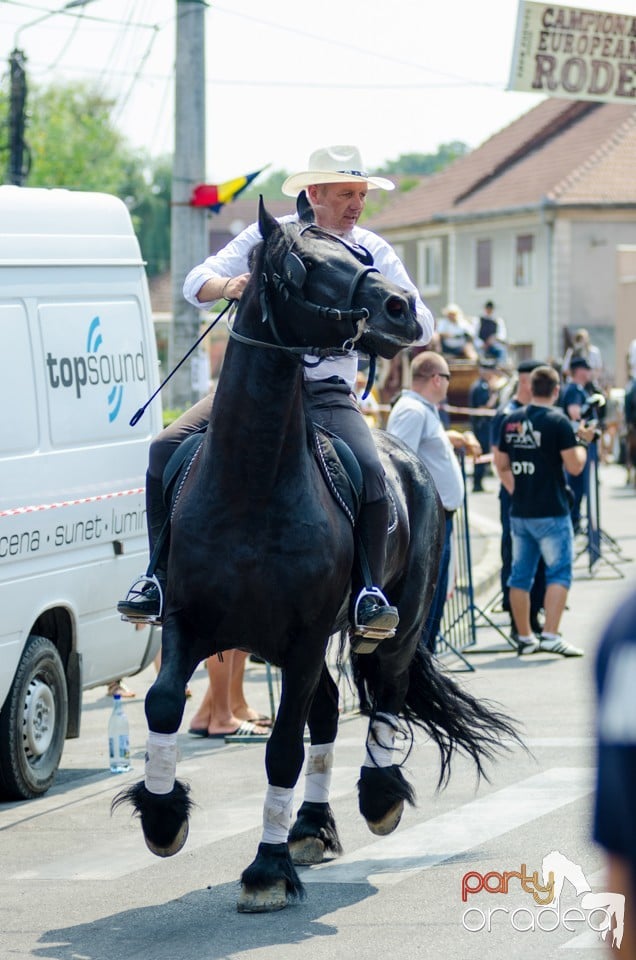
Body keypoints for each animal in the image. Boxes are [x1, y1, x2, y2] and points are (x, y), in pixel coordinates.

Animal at [114, 199, 520, 912]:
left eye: (361, 256)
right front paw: (164, 818)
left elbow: (282, 749)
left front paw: (266, 870)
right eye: (302, 261)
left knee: (384, 694)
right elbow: (163, 704)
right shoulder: (192, 624)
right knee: (330, 709)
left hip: (393, 626)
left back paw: (376, 797)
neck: (251, 482)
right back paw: (309, 825)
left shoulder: (302, 640)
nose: (399, 308)